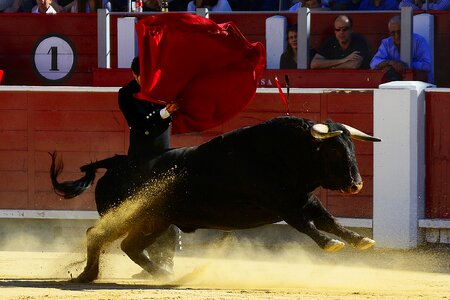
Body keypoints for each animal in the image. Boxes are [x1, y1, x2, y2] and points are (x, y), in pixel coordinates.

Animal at [50, 116, 380, 282]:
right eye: (334, 150)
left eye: (352, 146)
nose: (357, 184)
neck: (283, 153)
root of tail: (117, 162)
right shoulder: (283, 204)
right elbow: (306, 225)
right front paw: (331, 244)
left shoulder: (304, 199)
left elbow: (330, 220)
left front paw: (360, 240)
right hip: (131, 215)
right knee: (96, 235)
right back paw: (87, 275)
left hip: (154, 221)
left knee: (130, 246)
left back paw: (162, 275)